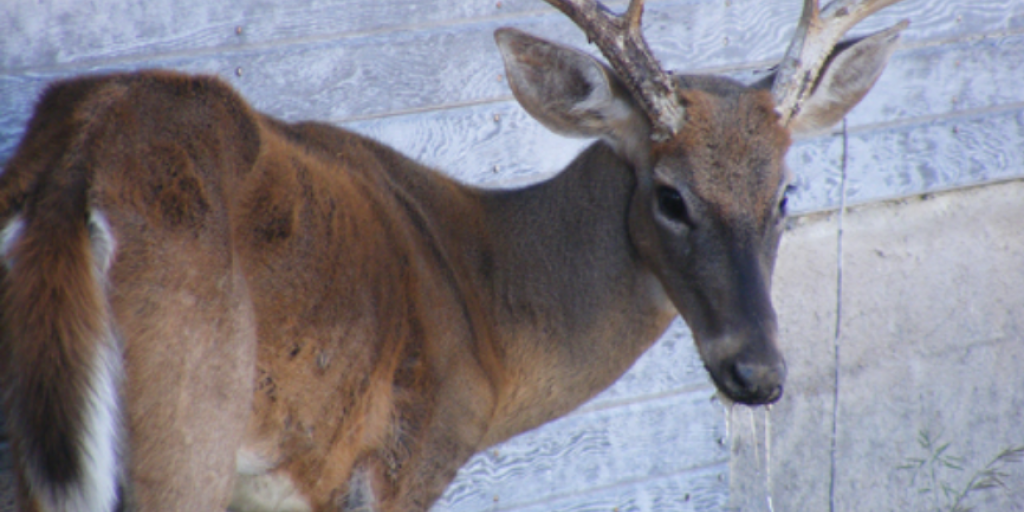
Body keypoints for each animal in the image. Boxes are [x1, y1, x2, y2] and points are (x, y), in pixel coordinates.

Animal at [0, 0, 907, 510]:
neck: (489, 315)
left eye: (785, 192)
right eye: (671, 195)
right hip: (184, 420)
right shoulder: (399, 465)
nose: (758, 373)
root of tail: (79, 164)